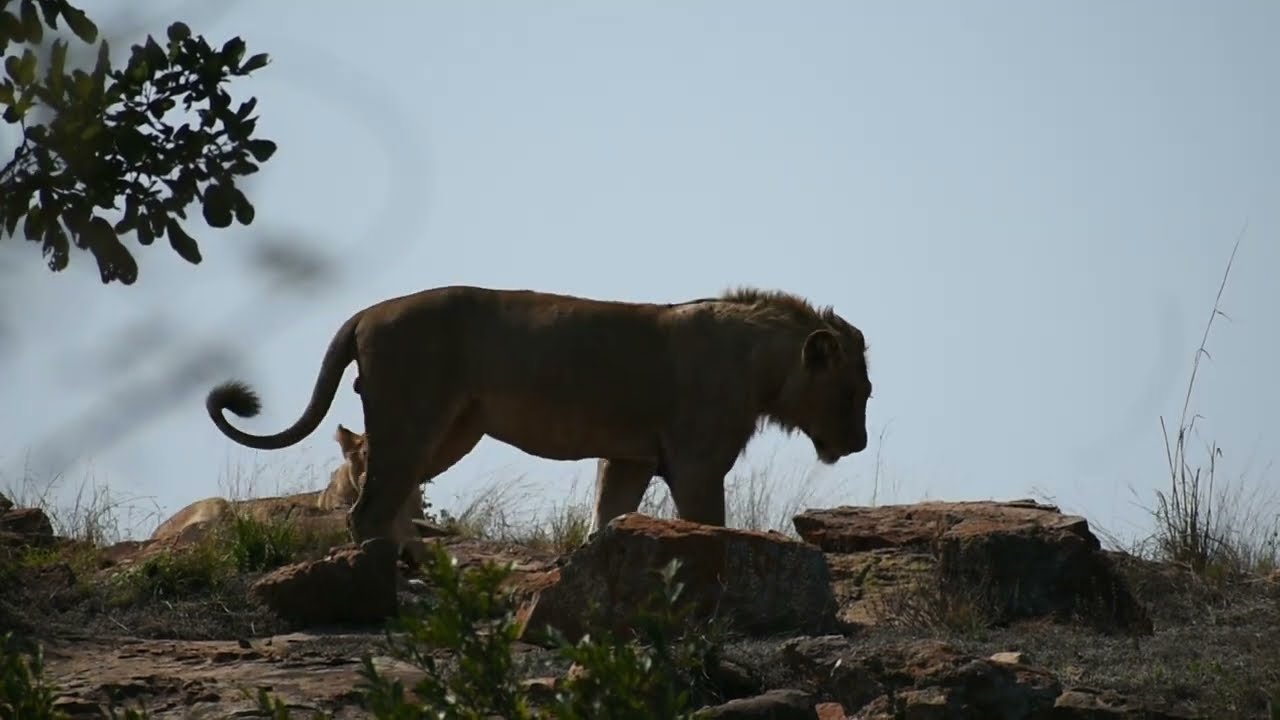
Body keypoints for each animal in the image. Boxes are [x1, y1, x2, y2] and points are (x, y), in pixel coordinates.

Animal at [205, 285, 872, 555]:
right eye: (856, 392)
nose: (862, 443)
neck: (764, 364)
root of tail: (365, 313)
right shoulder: (698, 463)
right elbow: (711, 526)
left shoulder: (629, 456)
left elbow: (610, 516)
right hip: (415, 413)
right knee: (368, 504)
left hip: (452, 429)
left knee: (384, 487)